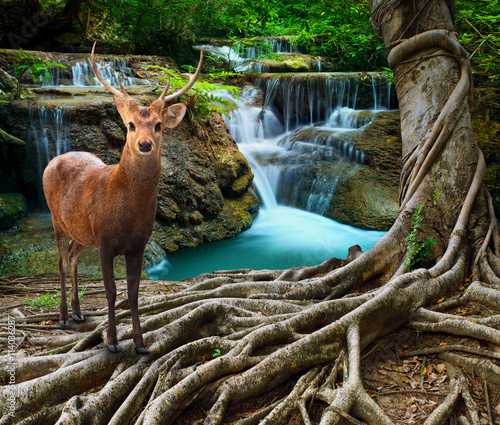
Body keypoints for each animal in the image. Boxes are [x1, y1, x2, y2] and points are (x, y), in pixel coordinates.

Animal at [43, 44, 202, 354]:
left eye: (159, 125)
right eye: (129, 124)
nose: (145, 145)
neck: (126, 214)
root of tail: (52, 159)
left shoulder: (138, 245)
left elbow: (133, 291)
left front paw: (140, 343)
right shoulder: (104, 240)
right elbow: (111, 290)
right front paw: (113, 342)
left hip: (82, 232)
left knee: (73, 256)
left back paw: (78, 313)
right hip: (57, 219)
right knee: (61, 261)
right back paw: (64, 317)